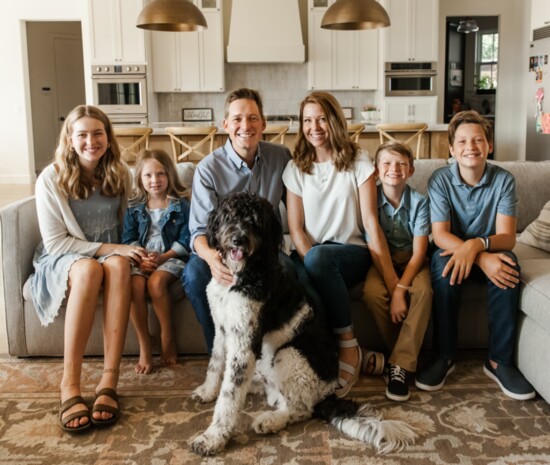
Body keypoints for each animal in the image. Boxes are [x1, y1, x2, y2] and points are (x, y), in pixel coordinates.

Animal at [191, 193, 418, 456]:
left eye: (255, 221)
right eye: (229, 215)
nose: (239, 239)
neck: (244, 272)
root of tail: (327, 397)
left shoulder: (245, 341)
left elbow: (229, 397)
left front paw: (213, 438)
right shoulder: (222, 329)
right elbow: (215, 364)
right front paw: (208, 391)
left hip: (290, 355)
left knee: (299, 408)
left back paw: (270, 420)